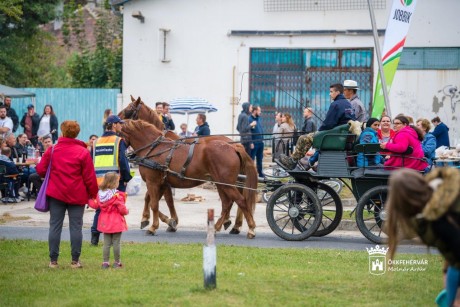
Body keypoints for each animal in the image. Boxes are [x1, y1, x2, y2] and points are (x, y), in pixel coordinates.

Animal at [118, 95, 252, 233]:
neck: (155, 146)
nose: (115, 119)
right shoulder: (163, 182)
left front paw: (162, 221)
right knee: (232, 201)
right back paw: (232, 224)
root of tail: (234, 146)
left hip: (225, 182)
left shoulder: (158, 182)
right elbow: (155, 199)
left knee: (235, 200)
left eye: (129, 109)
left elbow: (160, 201)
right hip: (224, 182)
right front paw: (165, 220)